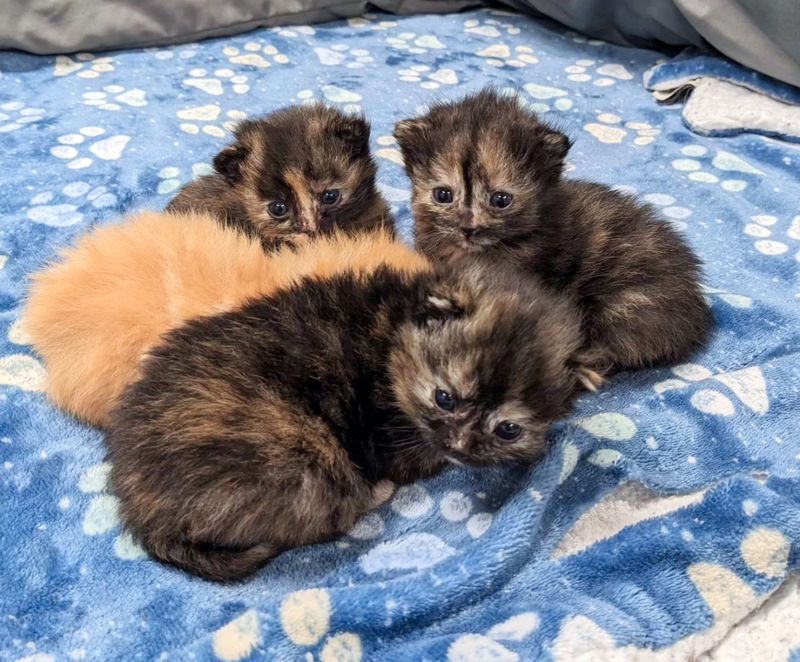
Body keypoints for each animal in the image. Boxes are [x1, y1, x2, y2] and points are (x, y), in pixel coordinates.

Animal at [108, 260, 588, 580]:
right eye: (444, 398)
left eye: (508, 429)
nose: (460, 445)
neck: (395, 336)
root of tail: (138, 507)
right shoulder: (400, 441)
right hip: (306, 462)